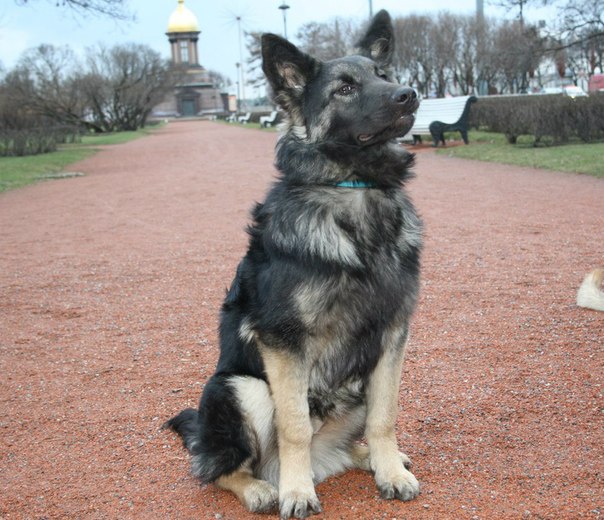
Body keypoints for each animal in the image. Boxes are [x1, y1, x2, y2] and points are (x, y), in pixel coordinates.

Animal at [164, 10, 420, 516]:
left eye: (383, 75)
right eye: (344, 88)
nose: (408, 93)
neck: (354, 188)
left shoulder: (392, 337)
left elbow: (386, 415)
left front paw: (390, 470)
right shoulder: (283, 342)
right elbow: (294, 424)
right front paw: (297, 492)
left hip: (353, 388)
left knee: (354, 439)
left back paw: (368, 458)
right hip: (240, 388)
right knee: (217, 469)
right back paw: (264, 487)